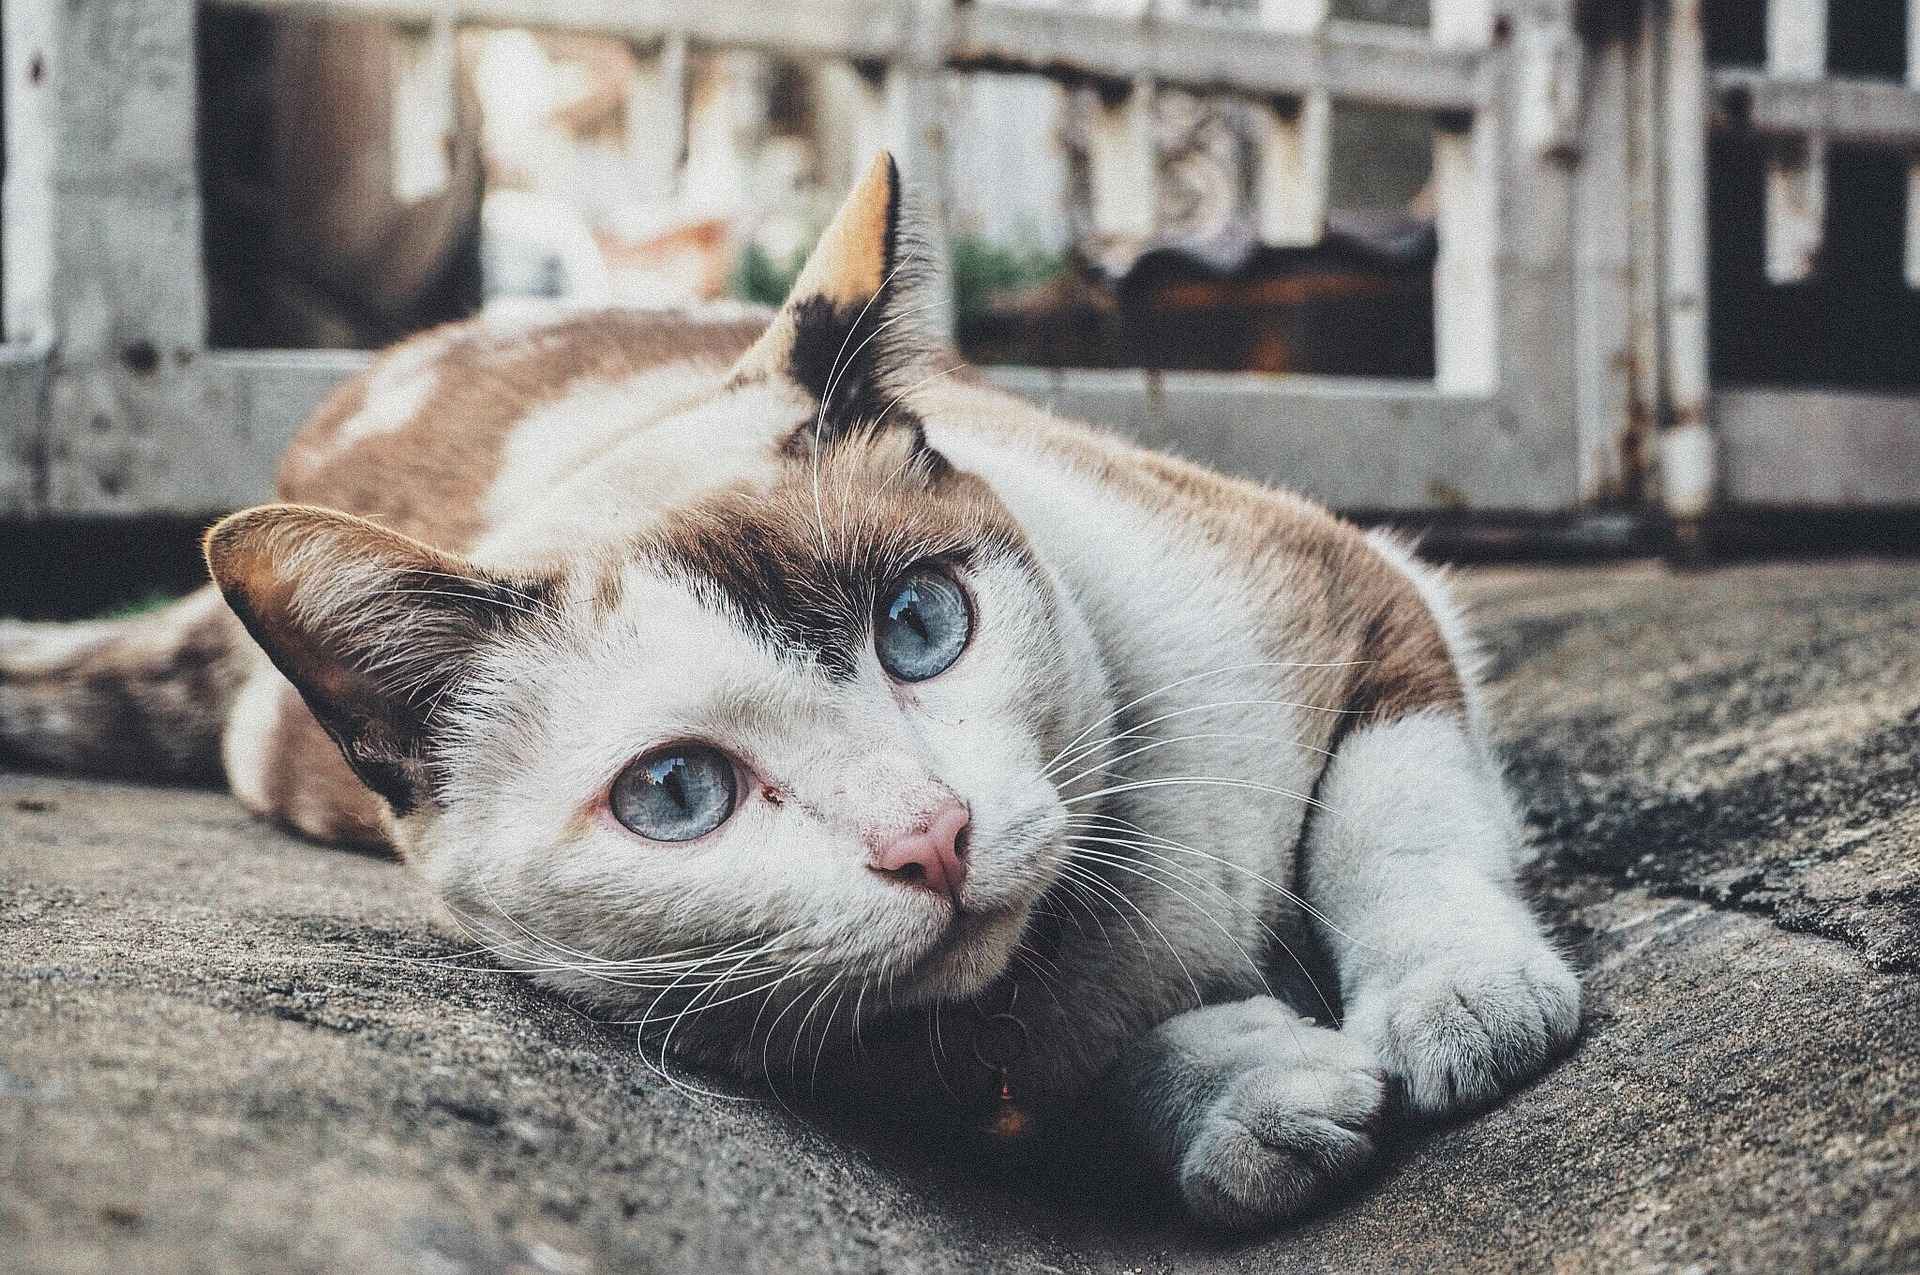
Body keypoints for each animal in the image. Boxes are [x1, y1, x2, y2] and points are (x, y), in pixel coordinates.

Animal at [3, 154, 1574, 1228]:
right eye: (676, 792)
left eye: (921, 624)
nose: (931, 839)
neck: (1097, 932)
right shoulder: (848, 1058)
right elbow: (1079, 1083)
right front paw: (1247, 1099)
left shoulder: (1349, 583)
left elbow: (1392, 820)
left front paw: (1458, 999)